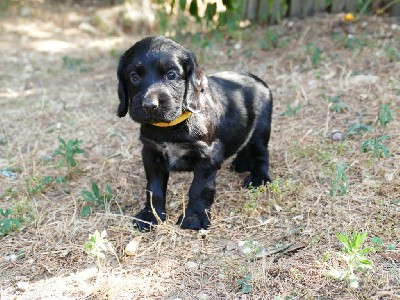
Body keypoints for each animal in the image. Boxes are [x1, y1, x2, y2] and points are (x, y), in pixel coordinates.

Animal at [115, 36, 272, 231]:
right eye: (134, 77)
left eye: (171, 74)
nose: (150, 105)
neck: (170, 127)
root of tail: (257, 79)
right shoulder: (151, 153)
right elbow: (154, 189)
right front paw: (150, 216)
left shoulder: (207, 156)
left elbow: (199, 189)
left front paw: (194, 218)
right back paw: (241, 162)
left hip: (261, 129)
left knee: (261, 153)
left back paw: (258, 178)